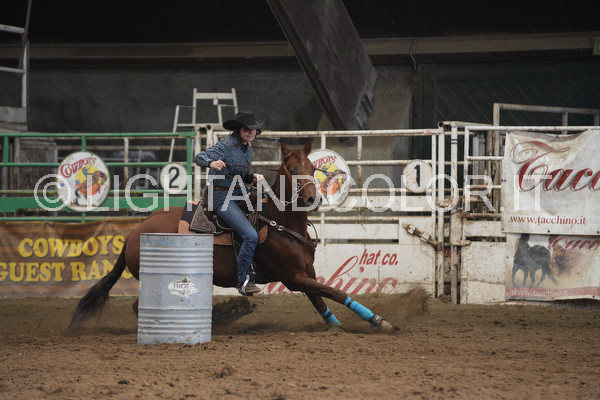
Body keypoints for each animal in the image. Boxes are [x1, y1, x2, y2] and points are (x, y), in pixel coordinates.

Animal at [69, 140, 394, 332]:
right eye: (291, 169)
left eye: (313, 167)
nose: (314, 197)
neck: (280, 222)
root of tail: (134, 233)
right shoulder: (293, 277)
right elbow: (335, 292)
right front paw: (379, 320)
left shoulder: (307, 273)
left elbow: (321, 300)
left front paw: (338, 327)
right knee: (141, 306)